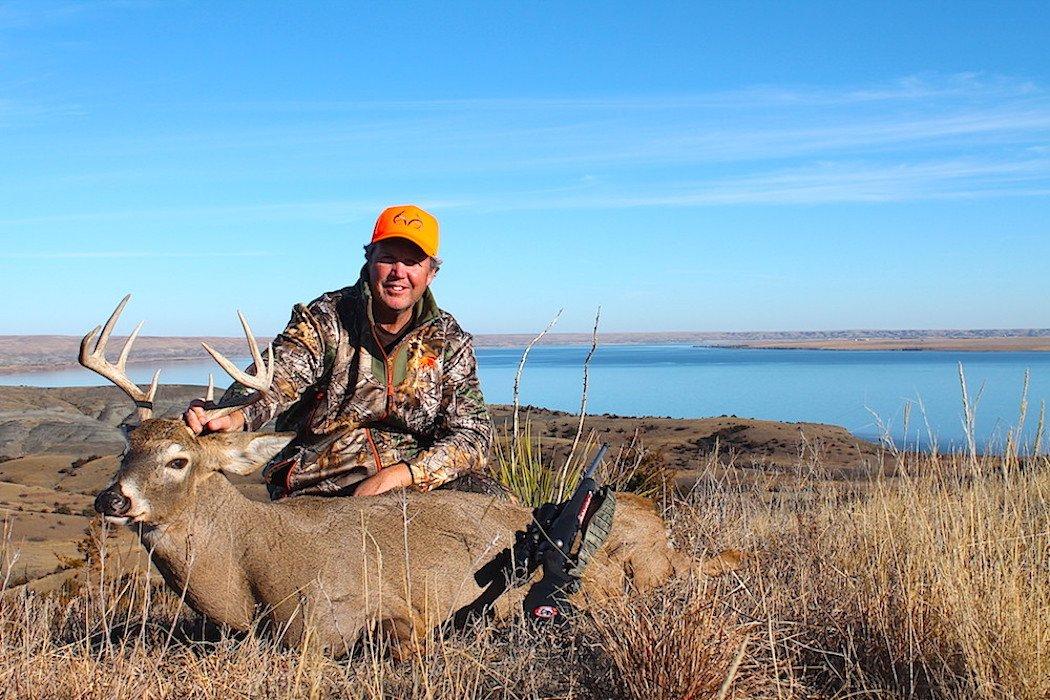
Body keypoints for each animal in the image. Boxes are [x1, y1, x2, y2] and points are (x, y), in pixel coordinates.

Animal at [81, 295, 739, 659]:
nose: (112, 499)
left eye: (179, 460)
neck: (248, 572)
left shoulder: (369, 607)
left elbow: (401, 640)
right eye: (126, 448)